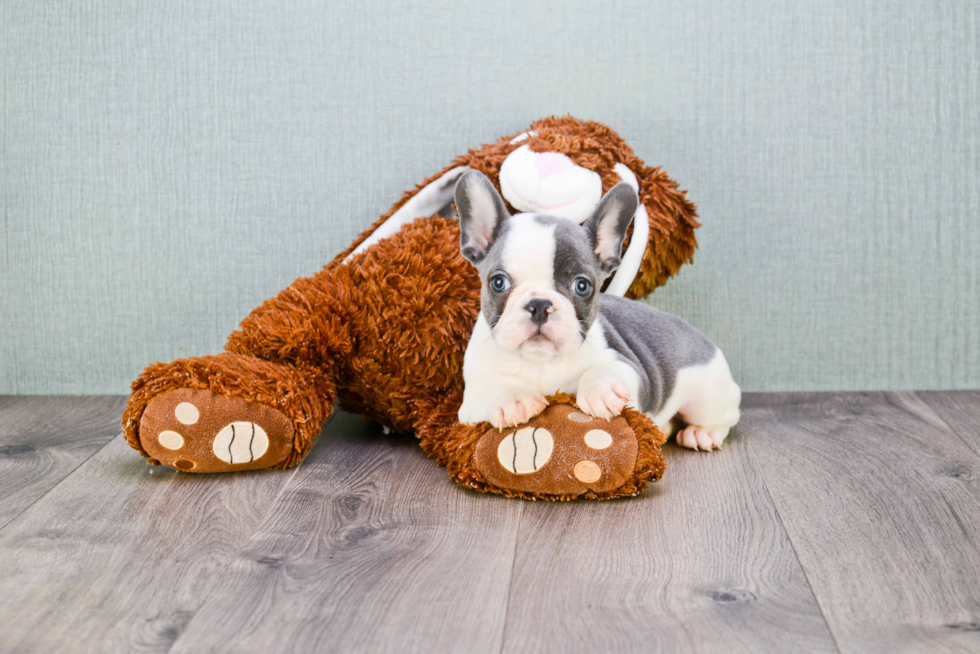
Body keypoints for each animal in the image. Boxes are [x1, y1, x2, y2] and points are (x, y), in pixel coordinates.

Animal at [456, 172, 740, 454]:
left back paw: (702, 433)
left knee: (725, 415)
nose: (539, 304)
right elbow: (489, 392)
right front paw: (512, 398)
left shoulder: (631, 367)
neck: (541, 362)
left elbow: (608, 370)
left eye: (582, 286)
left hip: (707, 395)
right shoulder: (467, 404)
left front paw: (601, 389)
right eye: (498, 282)